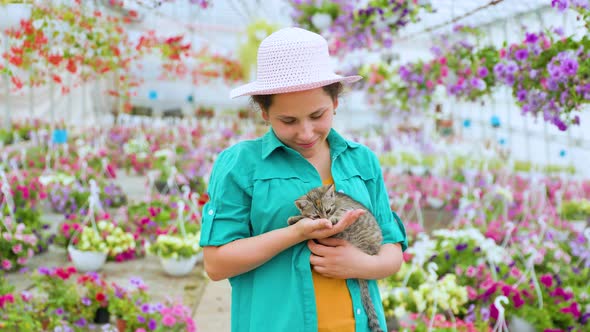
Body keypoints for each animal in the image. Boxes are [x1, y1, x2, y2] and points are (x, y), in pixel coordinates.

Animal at [288, 184, 388, 332]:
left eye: (328, 210)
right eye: (316, 215)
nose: (325, 219)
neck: (336, 201)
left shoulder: (348, 208)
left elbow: (342, 211)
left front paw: (333, 218)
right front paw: (295, 218)